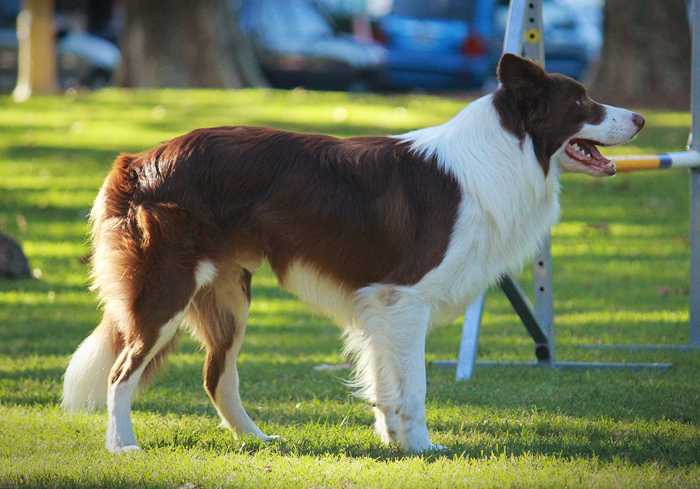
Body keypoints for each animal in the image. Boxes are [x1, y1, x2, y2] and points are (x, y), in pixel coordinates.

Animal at [63, 54, 644, 454]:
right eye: (582, 103)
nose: (639, 118)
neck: (504, 150)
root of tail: (136, 159)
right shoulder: (403, 297)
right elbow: (414, 385)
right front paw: (424, 447)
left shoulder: (380, 305)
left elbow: (387, 381)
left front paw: (396, 444)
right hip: (167, 287)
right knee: (121, 372)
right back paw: (123, 446)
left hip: (229, 292)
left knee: (216, 376)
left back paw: (257, 441)